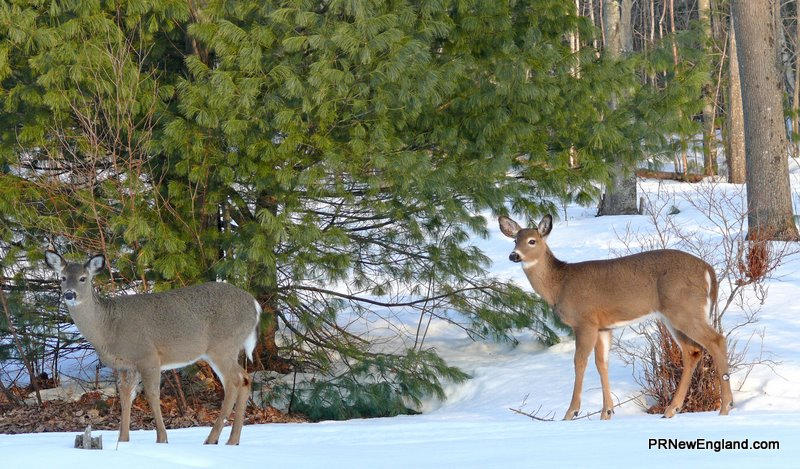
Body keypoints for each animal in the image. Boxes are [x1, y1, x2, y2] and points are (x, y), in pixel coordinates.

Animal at [44, 250, 260, 445]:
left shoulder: (148, 356)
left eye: (83, 278)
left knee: (234, 382)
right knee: (244, 379)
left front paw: (162, 438)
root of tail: (255, 305)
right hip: (224, 350)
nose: (69, 294)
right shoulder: (125, 365)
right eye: (62, 277)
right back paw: (232, 440)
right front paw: (123, 440)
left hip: (222, 346)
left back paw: (213, 439)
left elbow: (152, 395)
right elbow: (125, 396)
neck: (108, 328)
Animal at [498, 215, 733, 420]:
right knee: (692, 351)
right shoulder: (604, 327)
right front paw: (607, 413)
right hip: (674, 315)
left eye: (532, 241)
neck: (560, 284)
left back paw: (725, 407)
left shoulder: (585, 320)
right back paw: (671, 410)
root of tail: (708, 270)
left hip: (684, 309)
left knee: (716, 340)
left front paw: (571, 412)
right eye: (515, 240)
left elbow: (579, 361)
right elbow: (602, 363)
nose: (514, 255)